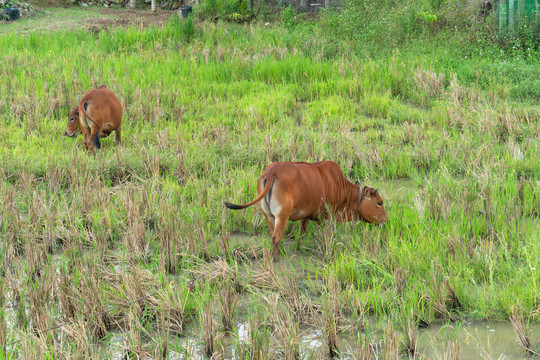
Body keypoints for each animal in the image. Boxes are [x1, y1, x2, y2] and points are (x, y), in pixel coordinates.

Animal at [225, 161, 388, 262]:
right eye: (379, 202)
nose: (385, 220)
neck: (340, 187)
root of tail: (271, 172)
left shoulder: (305, 215)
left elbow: (302, 233)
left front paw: (299, 247)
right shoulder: (324, 216)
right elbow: (322, 235)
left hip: (269, 215)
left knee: (273, 234)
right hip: (282, 215)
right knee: (276, 236)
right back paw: (276, 259)